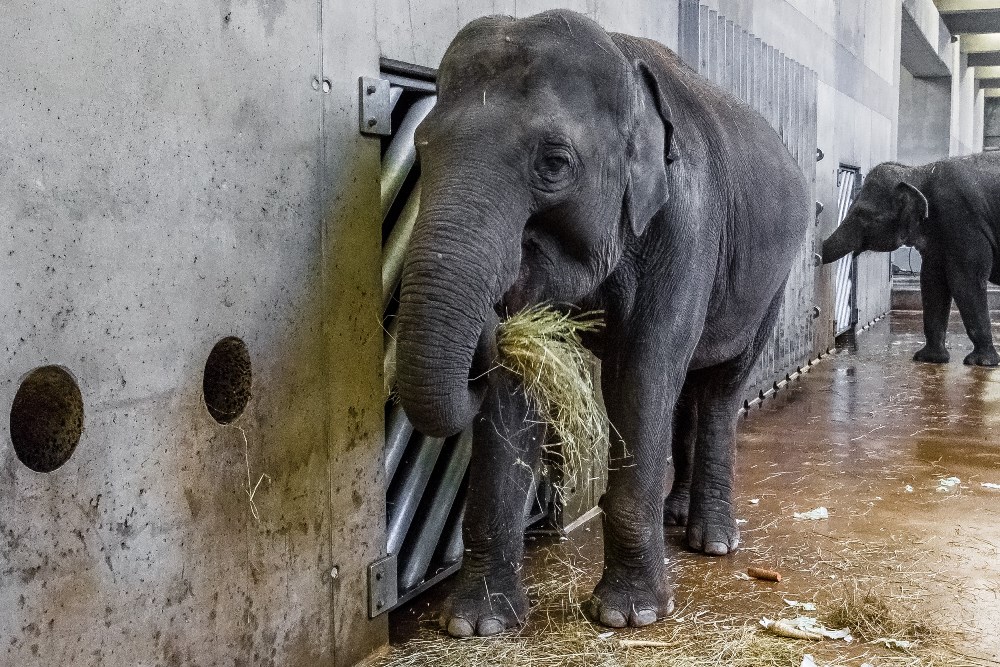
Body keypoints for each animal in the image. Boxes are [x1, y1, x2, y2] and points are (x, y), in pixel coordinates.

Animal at [394, 9, 808, 636]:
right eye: (422, 148)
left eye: (555, 163)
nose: (487, 326)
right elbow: (516, 387)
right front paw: (475, 624)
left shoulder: (687, 222)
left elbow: (641, 372)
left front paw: (628, 616)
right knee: (685, 385)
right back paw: (676, 516)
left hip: (773, 279)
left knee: (719, 385)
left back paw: (712, 541)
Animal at [820, 155, 1000, 368]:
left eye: (863, 214)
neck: (918, 172)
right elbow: (932, 281)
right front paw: (929, 359)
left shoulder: (963, 221)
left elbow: (966, 281)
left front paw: (981, 362)